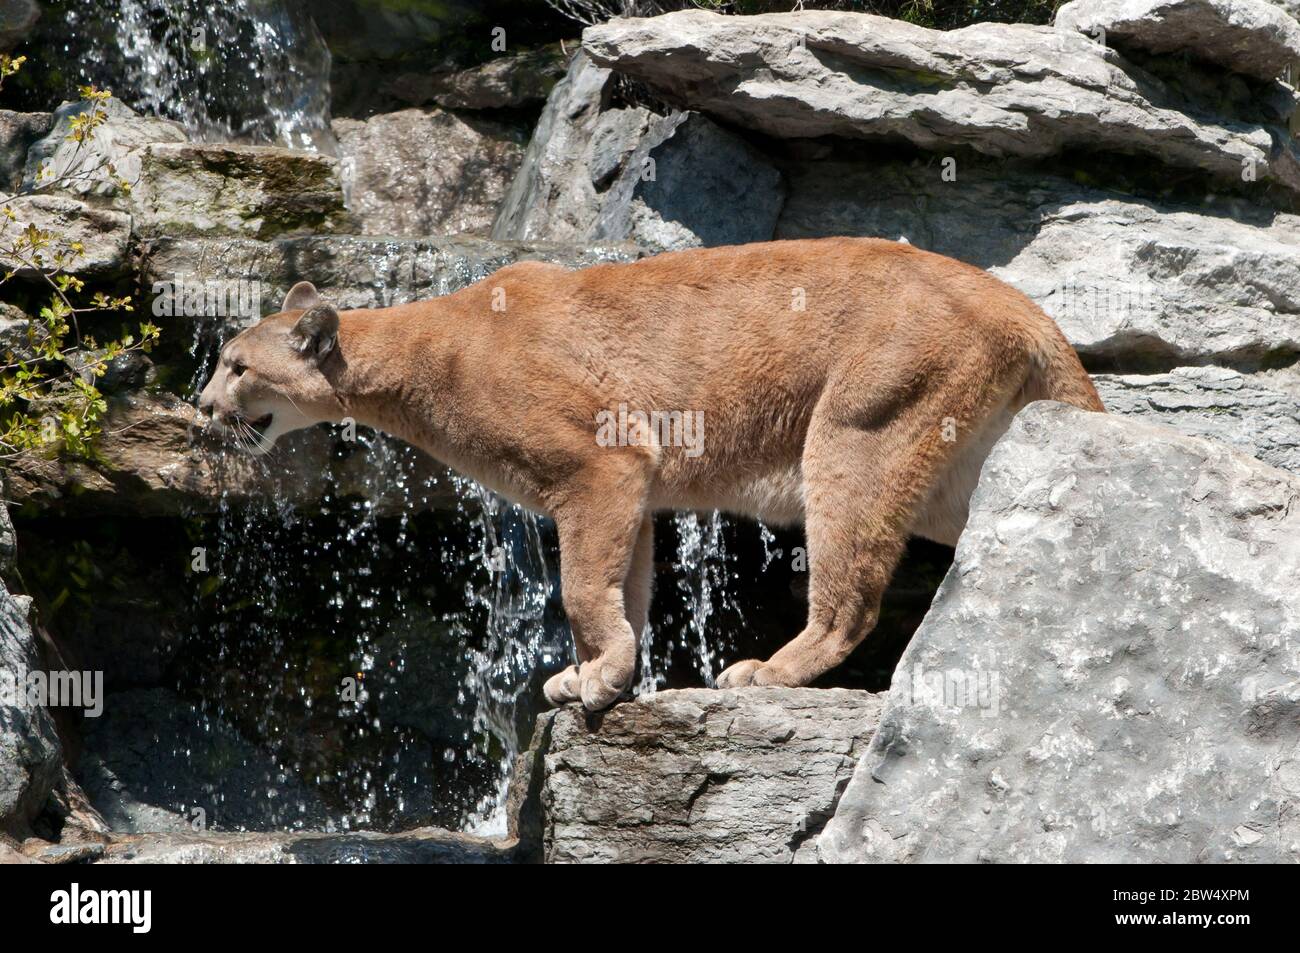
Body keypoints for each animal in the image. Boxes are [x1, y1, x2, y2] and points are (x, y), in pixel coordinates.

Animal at [197, 236, 1102, 707]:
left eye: (236, 365)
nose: (201, 406)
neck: (417, 356)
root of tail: (1018, 299)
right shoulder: (624, 488)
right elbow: (619, 588)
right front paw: (607, 673)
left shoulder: (598, 464)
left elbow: (577, 588)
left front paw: (597, 676)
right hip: (955, 475)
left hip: (857, 433)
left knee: (850, 599)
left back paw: (765, 671)